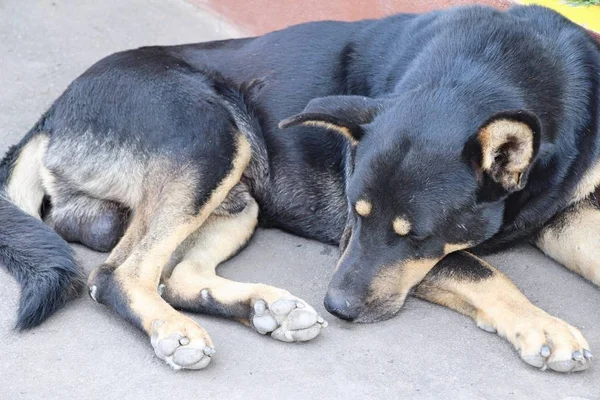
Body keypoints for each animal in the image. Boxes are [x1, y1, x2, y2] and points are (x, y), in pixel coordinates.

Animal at [1, 3, 600, 372]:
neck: (492, 69)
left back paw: (263, 307)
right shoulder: (357, 243)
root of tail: (51, 112)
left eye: (415, 235)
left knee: (177, 276)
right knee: (117, 274)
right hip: (211, 138)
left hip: (238, 200)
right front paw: (544, 328)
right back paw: (174, 331)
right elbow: (481, 269)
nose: (337, 306)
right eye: (356, 215)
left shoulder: (570, 212)